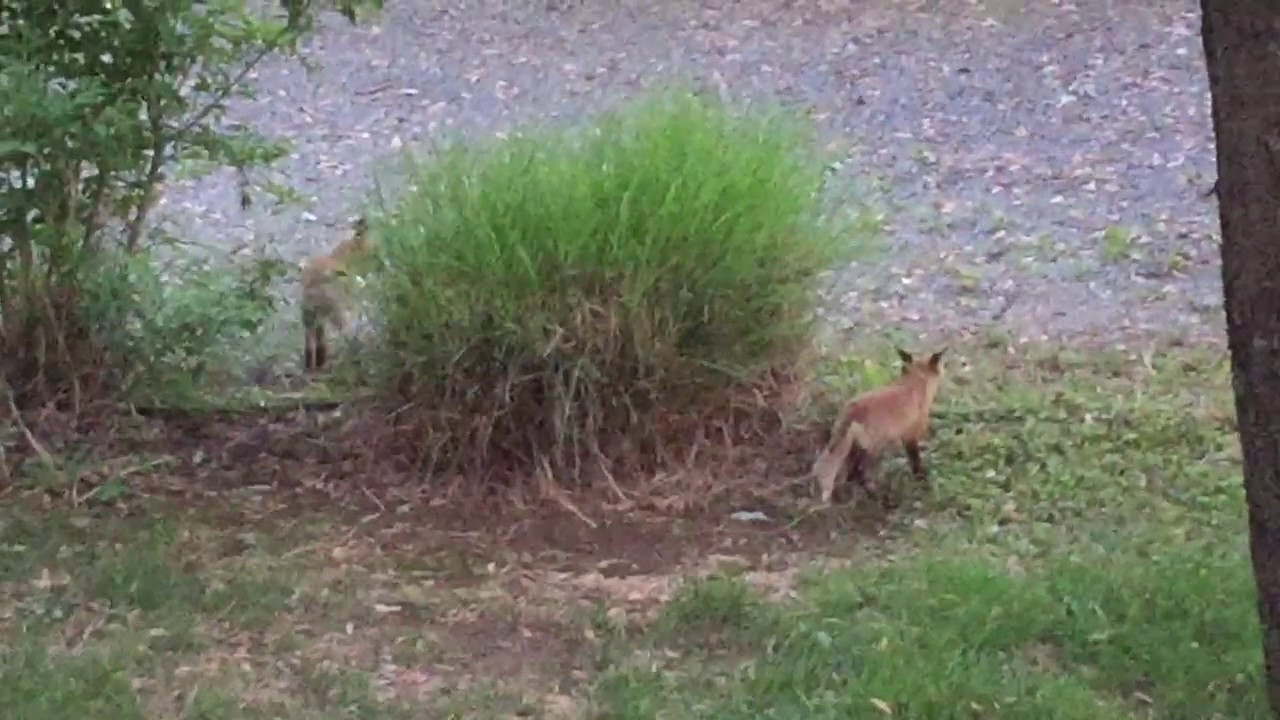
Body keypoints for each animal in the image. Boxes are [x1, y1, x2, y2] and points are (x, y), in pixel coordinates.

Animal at [300, 216, 373, 372]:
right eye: (374, 253)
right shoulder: (350, 303)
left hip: (310, 317)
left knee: (312, 342)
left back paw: (314, 365)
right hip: (333, 314)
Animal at [811, 346, 947, 504]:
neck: (913, 384)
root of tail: (853, 408)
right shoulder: (910, 435)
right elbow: (915, 461)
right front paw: (921, 480)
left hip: (853, 446)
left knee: (850, 473)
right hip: (872, 448)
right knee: (857, 473)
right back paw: (878, 497)